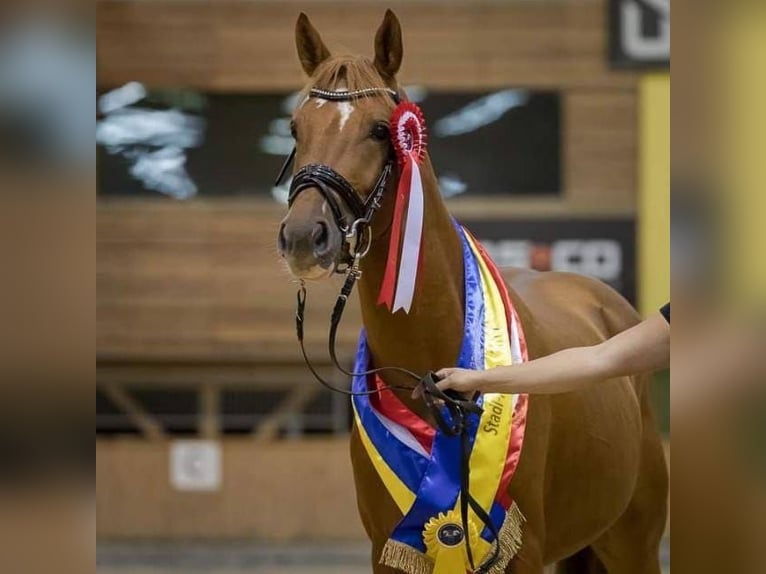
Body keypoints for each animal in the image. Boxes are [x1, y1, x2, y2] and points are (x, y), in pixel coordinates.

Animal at [276, 10, 668, 573]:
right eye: (295, 127)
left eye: (380, 129)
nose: (305, 237)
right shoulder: (387, 553)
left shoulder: (524, 552)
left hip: (633, 542)